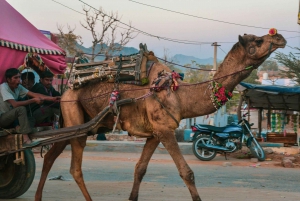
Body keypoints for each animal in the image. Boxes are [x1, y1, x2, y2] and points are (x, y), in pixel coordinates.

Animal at [34, 30, 286, 200]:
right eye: (258, 40)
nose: (280, 37)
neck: (180, 95)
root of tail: (66, 90)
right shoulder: (165, 130)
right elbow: (187, 172)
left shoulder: (155, 133)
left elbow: (140, 169)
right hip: (75, 118)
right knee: (74, 168)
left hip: (76, 123)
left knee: (50, 156)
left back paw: (38, 196)